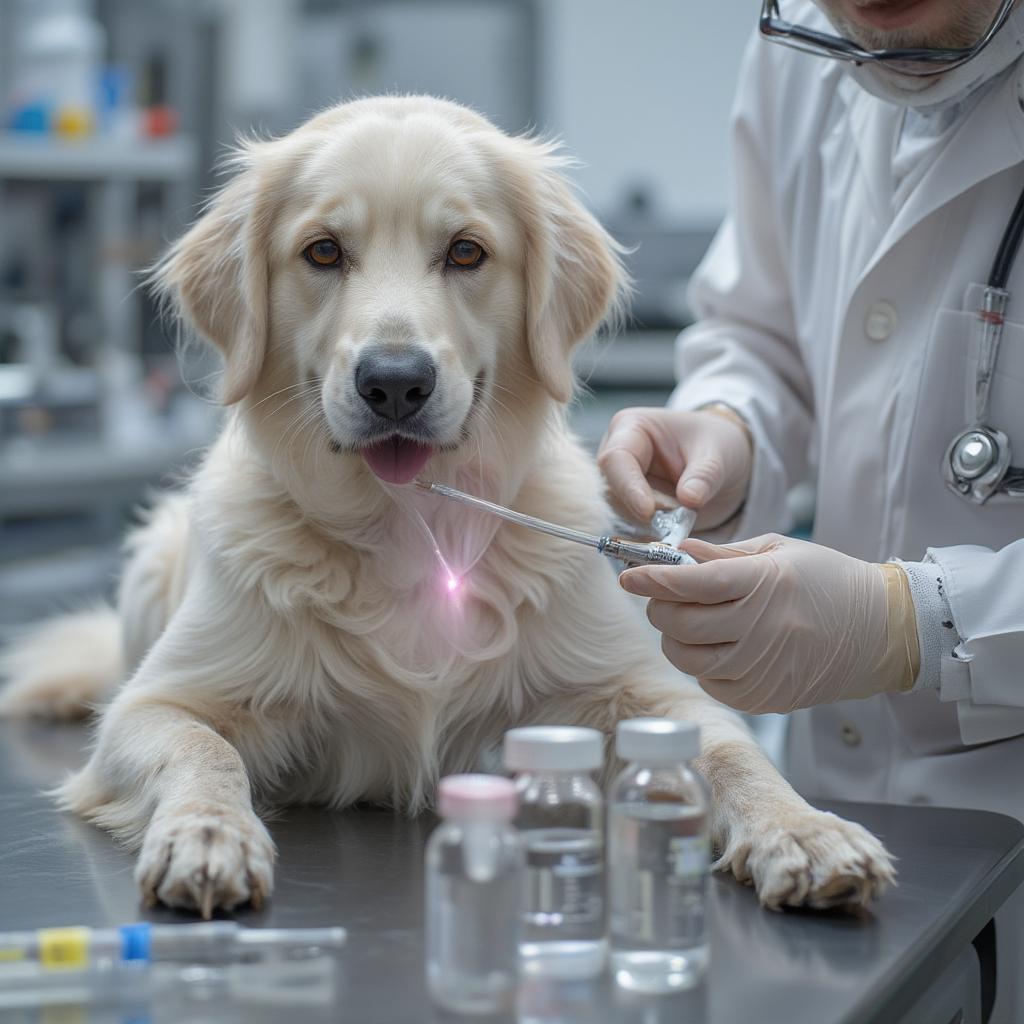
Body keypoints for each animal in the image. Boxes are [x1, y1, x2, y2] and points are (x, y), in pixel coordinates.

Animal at [0, 96, 897, 917]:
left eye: (466, 251)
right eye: (323, 251)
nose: (394, 381)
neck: (411, 530)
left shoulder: (645, 691)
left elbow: (731, 752)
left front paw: (804, 830)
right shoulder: (153, 704)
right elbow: (199, 749)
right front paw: (207, 834)